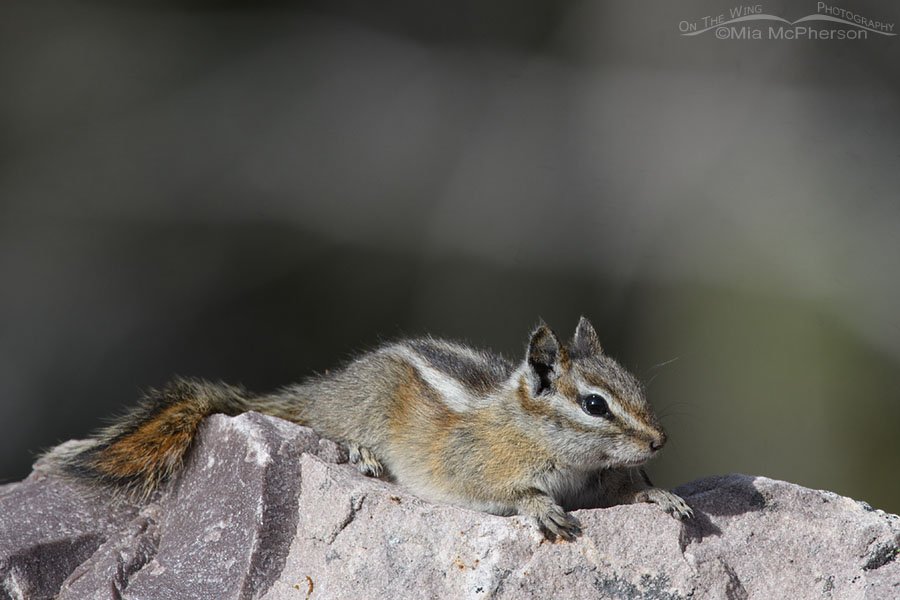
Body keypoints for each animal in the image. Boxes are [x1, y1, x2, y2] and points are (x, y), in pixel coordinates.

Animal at [48, 317, 692, 541]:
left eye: (632, 383)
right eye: (594, 404)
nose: (659, 441)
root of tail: (323, 389)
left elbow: (626, 488)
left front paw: (660, 494)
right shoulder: (473, 464)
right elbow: (507, 490)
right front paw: (540, 507)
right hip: (351, 412)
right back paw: (359, 451)